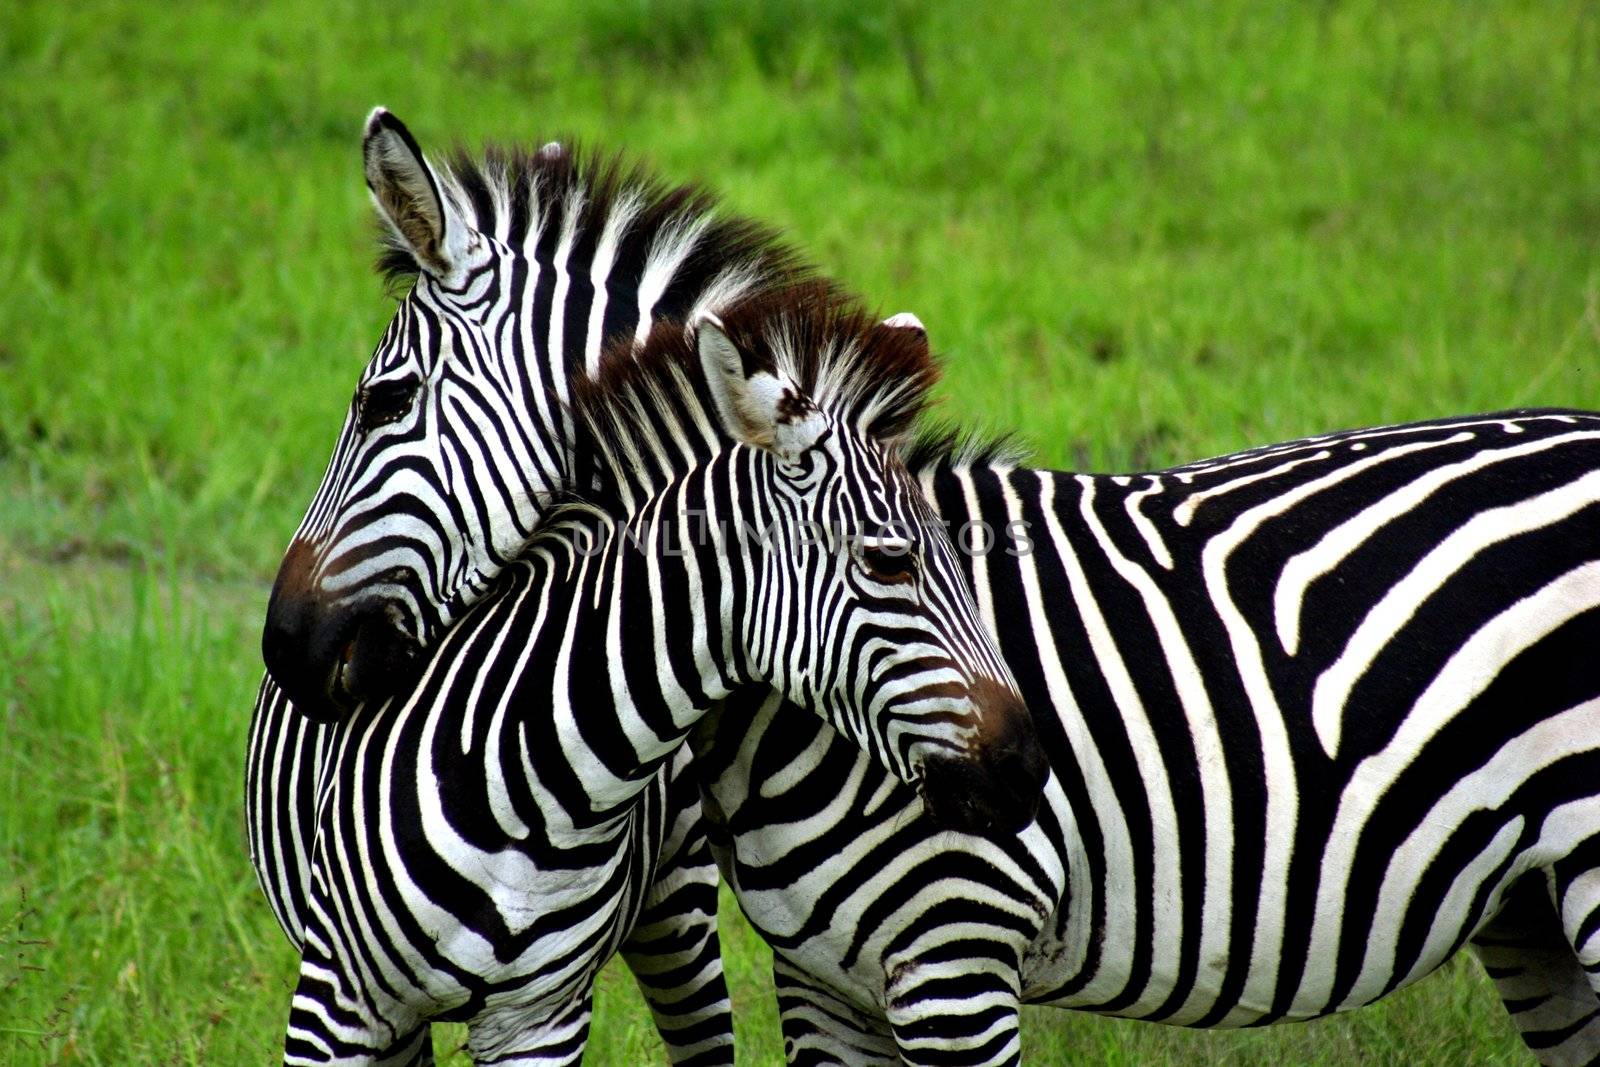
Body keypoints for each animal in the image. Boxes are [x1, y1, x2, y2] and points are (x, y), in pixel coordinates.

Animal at [281, 281, 1043, 1062]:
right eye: (890, 561)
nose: (1027, 765)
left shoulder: (540, 1017)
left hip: (678, 910)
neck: (530, 785)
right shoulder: (334, 998)